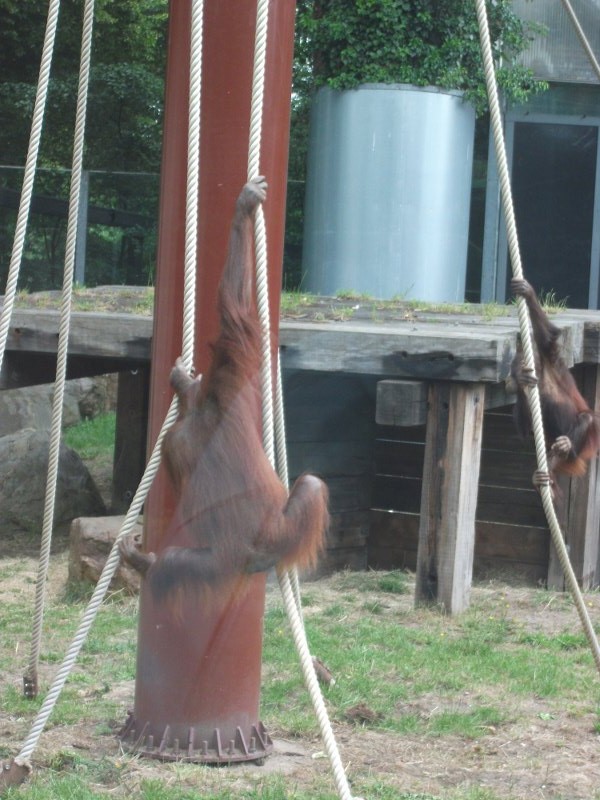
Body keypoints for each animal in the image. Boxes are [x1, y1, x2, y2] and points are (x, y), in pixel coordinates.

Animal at [120, 177, 328, 604]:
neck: (203, 407)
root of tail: (252, 552)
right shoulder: (231, 376)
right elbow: (236, 311)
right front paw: (243, 208)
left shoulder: (196, 414)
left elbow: (233, 310)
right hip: (272, 538)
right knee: (313, 486)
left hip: (233, 556)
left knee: (182, 564)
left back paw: (145, 564)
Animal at [507, 276, 599, 490]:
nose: (520, 367)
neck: (541, 374)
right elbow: (525, 430)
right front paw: (521, 382)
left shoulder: (552, 358)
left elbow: (548, 336)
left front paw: (528, 292)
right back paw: (545, 473)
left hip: (589, 441)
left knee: (587, 419)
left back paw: (566, 448)